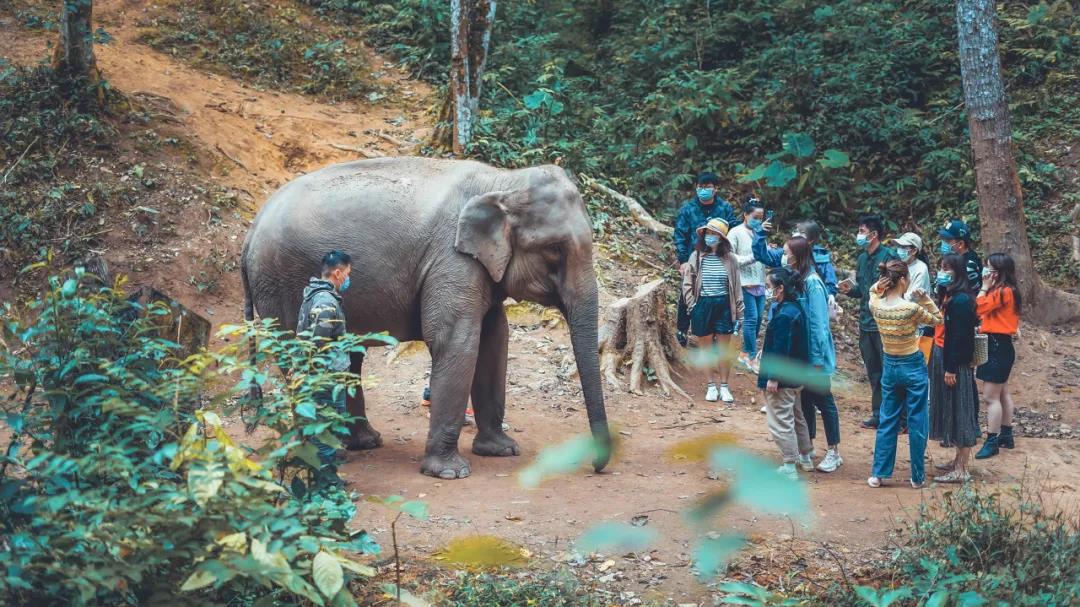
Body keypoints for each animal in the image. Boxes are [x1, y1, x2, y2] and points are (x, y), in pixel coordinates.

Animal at [245, 158, 613, 479]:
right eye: (554, 249)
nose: (595, 467)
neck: (503, 181)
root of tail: (252, 228)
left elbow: (495, 338)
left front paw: (502, 450)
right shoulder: (452, 259)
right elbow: (457, 342)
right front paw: (451, 473)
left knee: (349, 355)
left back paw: (363, 443)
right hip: (279, 285)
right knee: (299, 355)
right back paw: (319, 452)